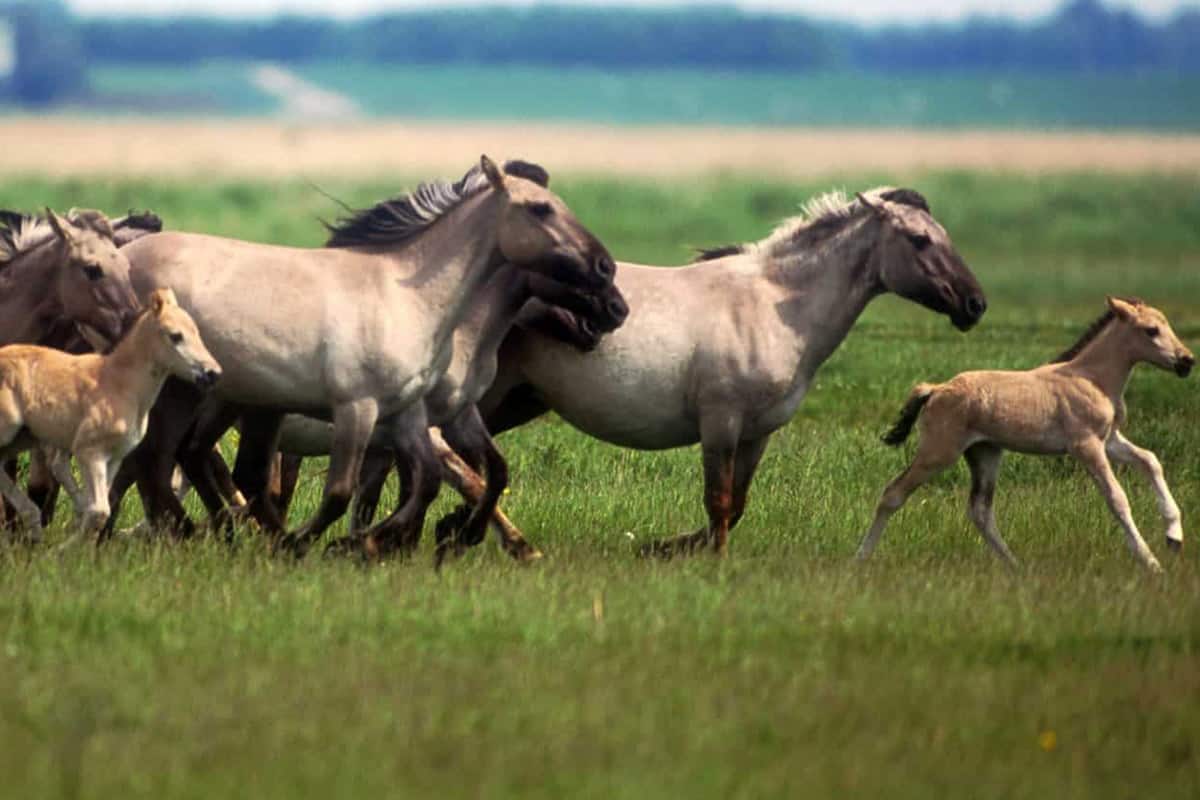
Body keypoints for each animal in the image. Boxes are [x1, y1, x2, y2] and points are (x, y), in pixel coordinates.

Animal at [0, 287, 220, 537]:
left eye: (197, 332)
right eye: (175, 336)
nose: (213, 373)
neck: (120, 384)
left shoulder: (115, 457)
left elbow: (101, 507)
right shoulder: (89, 452)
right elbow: (99, 511)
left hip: (23, 438)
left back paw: (34, 525)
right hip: (9, 431)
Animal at [115, 155, 614, 556]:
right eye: (539, 208)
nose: (610, 285)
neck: (407, 298)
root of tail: (125, 255)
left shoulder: (410, 413)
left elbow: (438, 480)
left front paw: (385, 542)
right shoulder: (359, 408)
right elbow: (345, 491)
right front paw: (330, 544)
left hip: (208, 396)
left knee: (177, 461)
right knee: (160, 461)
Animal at [472, 185, 988, 556]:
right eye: (920, 240)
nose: (974, 304)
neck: (776, 308)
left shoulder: (756, 433)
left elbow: (736, 505)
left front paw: (664, 547)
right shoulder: (721, 423)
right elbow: (718, 502)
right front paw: (706, 561)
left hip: (516, 401)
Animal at [859, 297, 1195, 573]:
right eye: (1151, 330)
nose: (1187, 361)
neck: (1093, 379)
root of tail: (935, 389)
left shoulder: (1109, 440)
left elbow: (1150, 461)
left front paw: (1174, 537)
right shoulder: (1086, 446)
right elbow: (1117, 498)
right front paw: (1151, 563)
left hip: (985, 453)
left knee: (980, 511)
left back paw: (1016, 567)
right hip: (939, 453)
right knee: (893, 494)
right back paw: (860, 559)